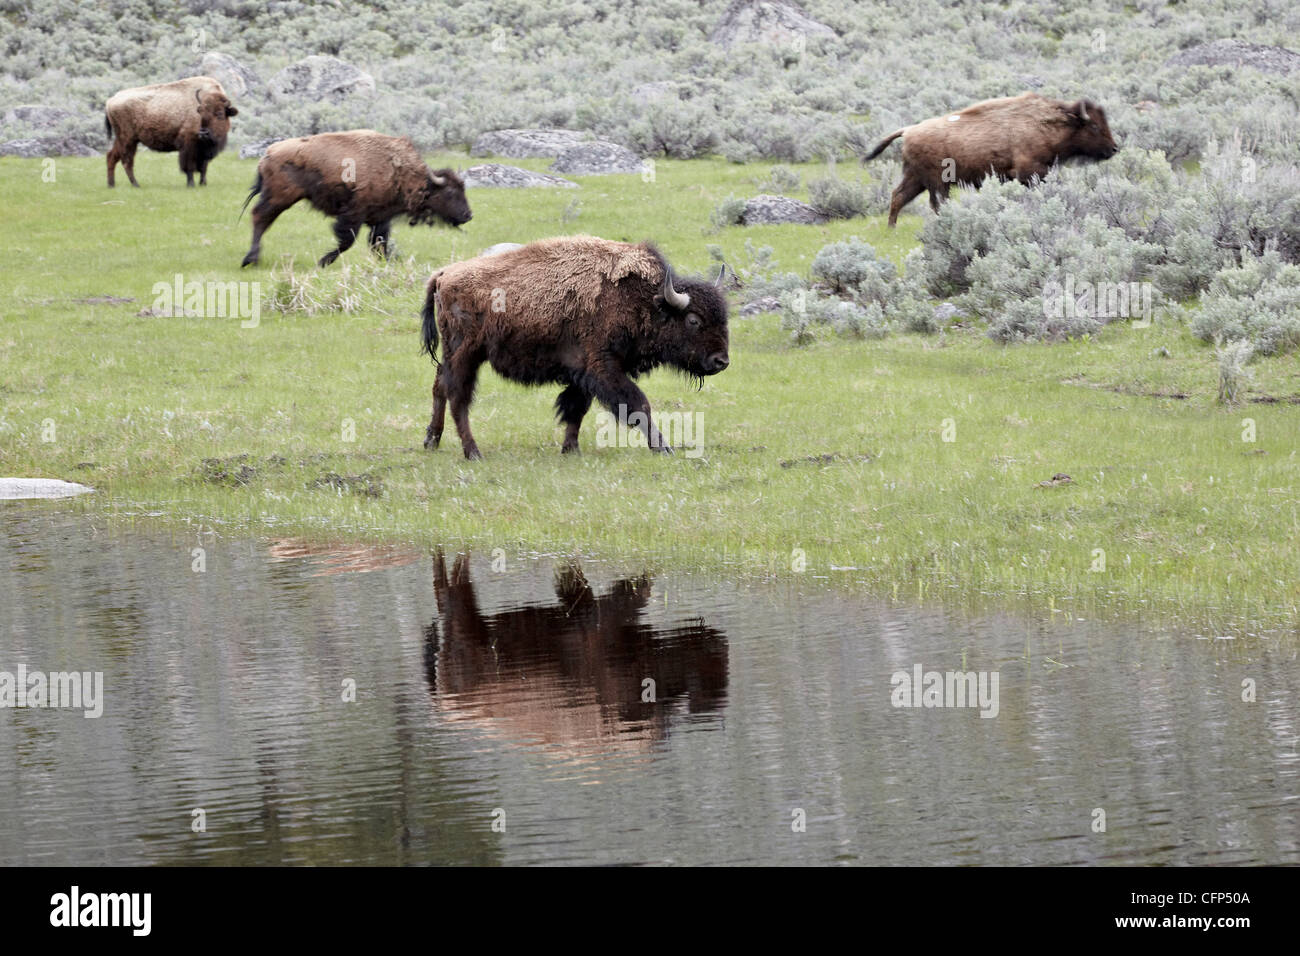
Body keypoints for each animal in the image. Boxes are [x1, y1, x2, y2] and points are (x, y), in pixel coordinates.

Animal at [105, 76, 238, 188]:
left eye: (220, 113)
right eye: (200, 112)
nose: (204, 133)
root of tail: (111, 100)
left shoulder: (204, 149)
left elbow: (204, 168)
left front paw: (203, 184)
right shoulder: (189, 146)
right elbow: (189, 167)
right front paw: (191, 185)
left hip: (121, 139)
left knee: (111, 157)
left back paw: (111, 185)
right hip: (128, 140)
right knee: (127, 162)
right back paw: (136, 185)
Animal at [239, 130, 471, 268]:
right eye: (450, 192)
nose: (468, 215)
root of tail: (267, 154)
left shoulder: (381, 217)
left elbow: (379, 242)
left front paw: (386, 263)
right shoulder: (354, 214)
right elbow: (347, 241)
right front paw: (323, 261)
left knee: (261, 220)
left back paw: (253, 259)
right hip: (279, 198)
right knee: (260, 218)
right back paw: (250, 260)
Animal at [419, 235, 731, 459]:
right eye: (693, 320)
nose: (721, 361)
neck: (642, 300)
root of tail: (444, 274)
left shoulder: (582, 373)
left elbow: (576, 409)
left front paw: (570, 450)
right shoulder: (603, 367)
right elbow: (638, 403)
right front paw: (663, 448)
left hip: (452, 353)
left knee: (439, 386)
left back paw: (431, 440)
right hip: (466, 354)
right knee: (458, 398)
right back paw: (473, 452)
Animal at [862, 92, 1120, 226]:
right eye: (1094, 126)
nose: (1114, 148)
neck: (1048, 123)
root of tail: (908, 130)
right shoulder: (1030, 172)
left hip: (916, 179)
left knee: (898, 197)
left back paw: (892, 229)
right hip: (937, 182)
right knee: (934, 203)